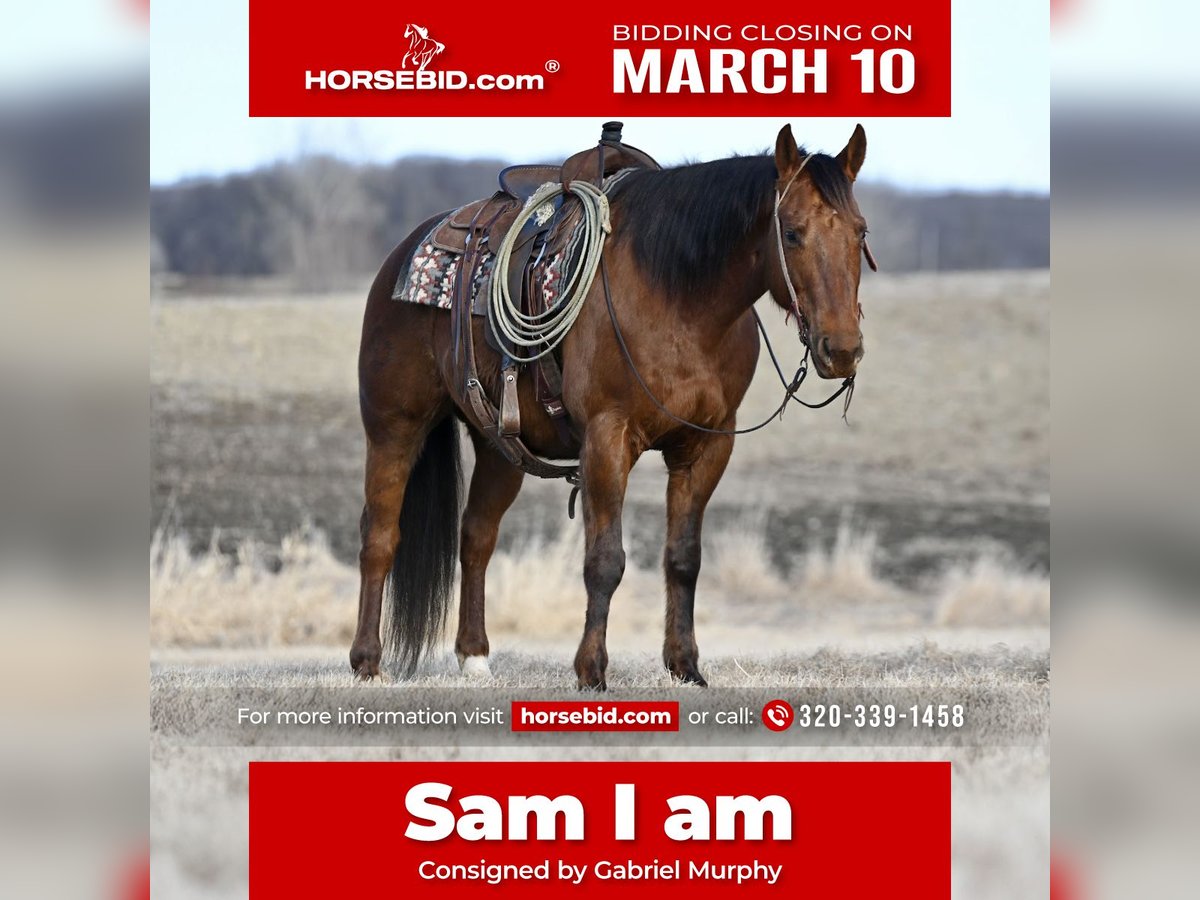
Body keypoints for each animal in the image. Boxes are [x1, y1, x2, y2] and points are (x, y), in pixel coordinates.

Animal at [350, 123, 868, 691]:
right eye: (792, 233)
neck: (678, 297)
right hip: (394, 428)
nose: (842, 349)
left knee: (477, 537)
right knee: (380, 535)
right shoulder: (607, 439)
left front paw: (686, 666)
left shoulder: (706, 447)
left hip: (499, 447)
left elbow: (683, 558)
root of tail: (403, 253)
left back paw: (475, 657)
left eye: (860, 233)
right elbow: (604, 561)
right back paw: (367, 661)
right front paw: (592, 671)